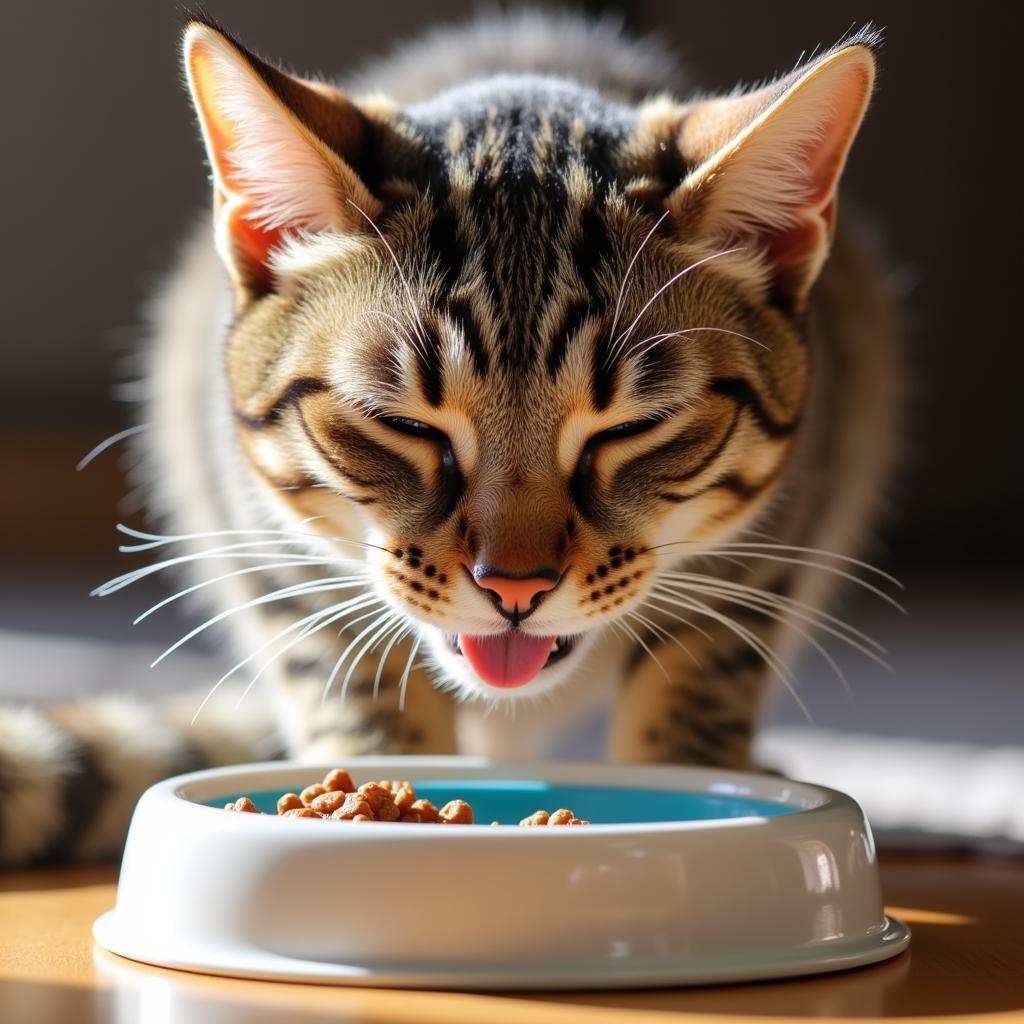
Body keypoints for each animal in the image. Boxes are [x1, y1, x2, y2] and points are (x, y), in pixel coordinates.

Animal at [0, 12, 897, 868]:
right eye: (400, 423)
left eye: (636, 428)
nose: (515, 588)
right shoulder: (283, 567)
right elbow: (366, 712)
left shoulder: (763, 559)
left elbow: (689, 707)